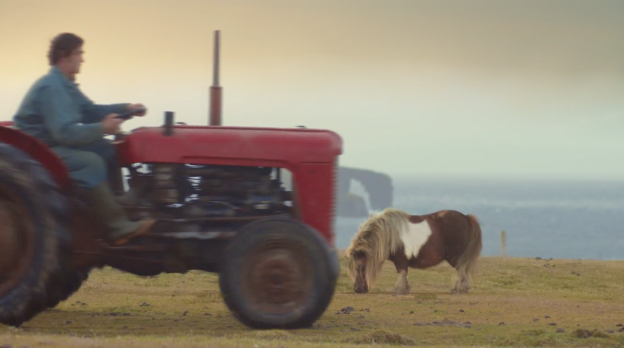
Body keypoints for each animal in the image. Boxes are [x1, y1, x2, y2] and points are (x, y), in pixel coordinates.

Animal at [346, 208, 482, 294]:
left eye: (360, 267)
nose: (357, 290)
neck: (390, 234)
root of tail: (466, 217)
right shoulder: (403, 260)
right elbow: (404, 274)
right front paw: (405, 289)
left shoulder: (401, 259)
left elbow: (401, 273)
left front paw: (399, 290)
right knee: (465, 270)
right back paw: (464, 288)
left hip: (457, 257)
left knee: (461, 270)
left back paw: (457, 289)